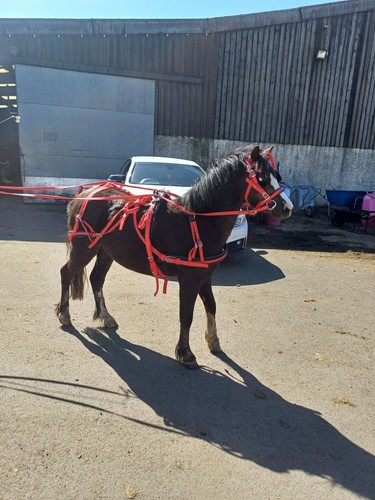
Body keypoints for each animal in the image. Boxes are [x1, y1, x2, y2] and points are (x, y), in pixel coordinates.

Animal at [57, 145, 296, 368]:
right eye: (262, 178)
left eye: (277, 176)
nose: (288, 208)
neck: (198, 220)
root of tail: (85, 194)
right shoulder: (189, 279)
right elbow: (186, 315)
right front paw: (185, 353)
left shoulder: (205, 276)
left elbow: (211, 306)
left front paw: (213, 341)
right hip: (84, 249)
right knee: (66, 273)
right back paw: (64, 315)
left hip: (106, 252)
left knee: (97, 279)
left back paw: (106, 317)